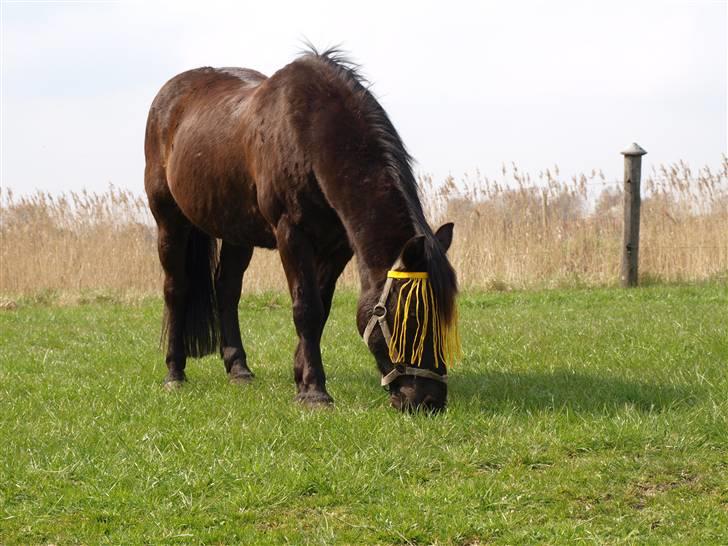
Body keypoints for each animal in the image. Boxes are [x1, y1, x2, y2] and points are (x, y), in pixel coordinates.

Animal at [144, 46, 458, 410]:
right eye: (413, 316)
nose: (428, 400)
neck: (310, 135)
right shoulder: (291, 234)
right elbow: (305, 307)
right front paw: (313, 392)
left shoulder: (337, 246)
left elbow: (320, 309)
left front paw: (301, 375)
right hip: (169, 220)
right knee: (176, 289)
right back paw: (174, 373)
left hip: (237, 231)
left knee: (227, 289)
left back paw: (239, 369)